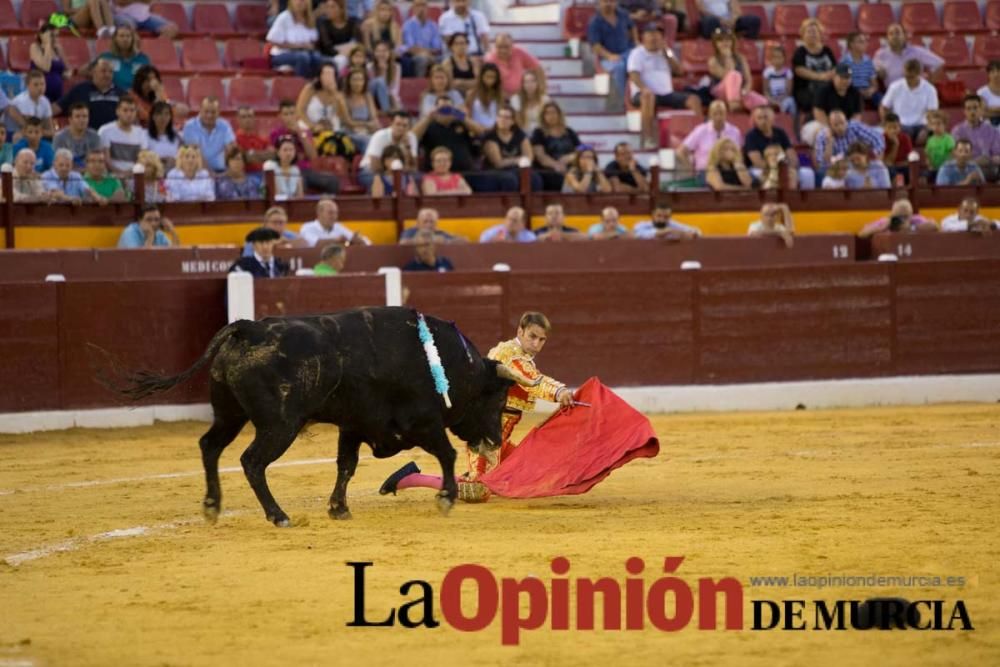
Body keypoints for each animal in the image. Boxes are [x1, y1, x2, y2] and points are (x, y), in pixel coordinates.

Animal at [105, 308, 536, 528]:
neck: (447, 364)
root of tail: (248, 329)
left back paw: (213, 506)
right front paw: (446, 498)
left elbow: (345, 465)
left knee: (210, 446)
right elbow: (446, 454)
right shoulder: (422, 422)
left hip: (229, 414)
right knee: (252, 461)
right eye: (497, 399)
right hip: (279, 425)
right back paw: (278, 515)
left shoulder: (353, 425)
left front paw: (338, 508)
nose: (494, 441)